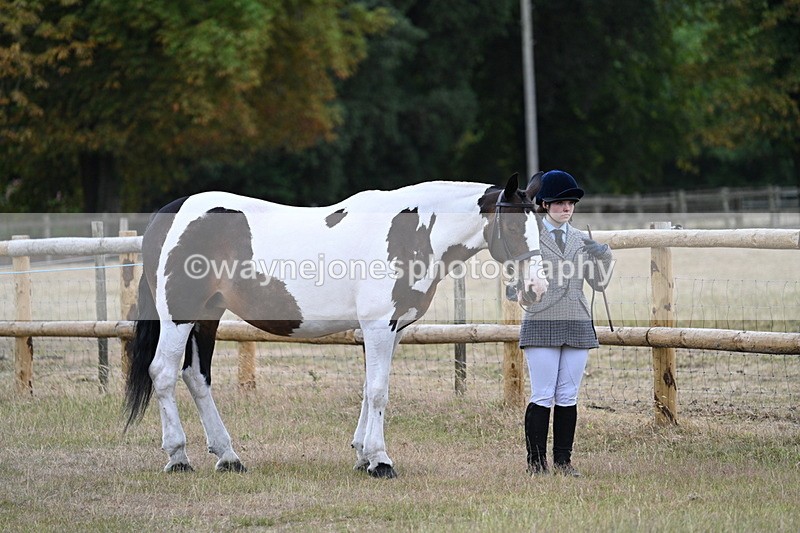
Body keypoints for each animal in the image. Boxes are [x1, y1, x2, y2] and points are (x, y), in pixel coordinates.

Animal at [124, 173, 547, 478]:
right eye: (513, 229)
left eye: (539, 228)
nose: (536, 288)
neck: (410, 232)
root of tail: (170, 215)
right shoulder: (378, 326)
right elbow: (378, 392)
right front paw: (380, 461)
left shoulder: (391, 330)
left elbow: (369, 389)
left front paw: (362, 456)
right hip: (178, 316)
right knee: (163, 373)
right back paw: (178, 457)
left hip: (207, 315)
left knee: (197, 377)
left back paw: (229, 457)